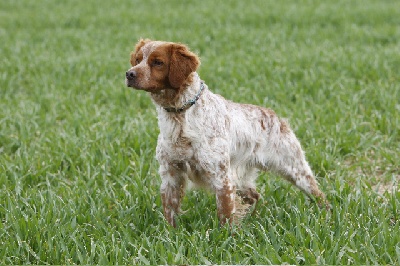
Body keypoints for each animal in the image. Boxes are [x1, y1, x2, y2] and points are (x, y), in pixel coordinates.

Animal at [126, 38, 328, 228]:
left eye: (157, 62)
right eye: (138, 60)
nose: (129, 74)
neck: (180, 116)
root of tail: (275, 116)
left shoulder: (221, 177)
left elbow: (225, 215)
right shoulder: (170, 175)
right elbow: (170, 213)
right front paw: (171, 234)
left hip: (294, 169)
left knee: (319, 194)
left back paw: (326, 216)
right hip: (241, 179)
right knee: (255, 195)